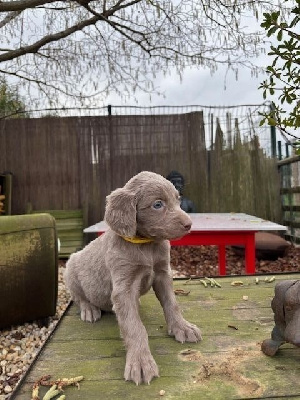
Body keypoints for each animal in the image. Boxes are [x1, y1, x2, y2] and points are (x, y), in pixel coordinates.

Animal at [65, 171, 202, 384]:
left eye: (178, 200)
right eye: (157, 204)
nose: (189, 224)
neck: (146, 244)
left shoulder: (163, 274)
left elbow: (172, 304)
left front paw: (183, 327)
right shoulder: (124, 287)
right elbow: (134, 326)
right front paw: (140, 361)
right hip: (70, 269)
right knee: (78, 297)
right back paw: (89, 309)